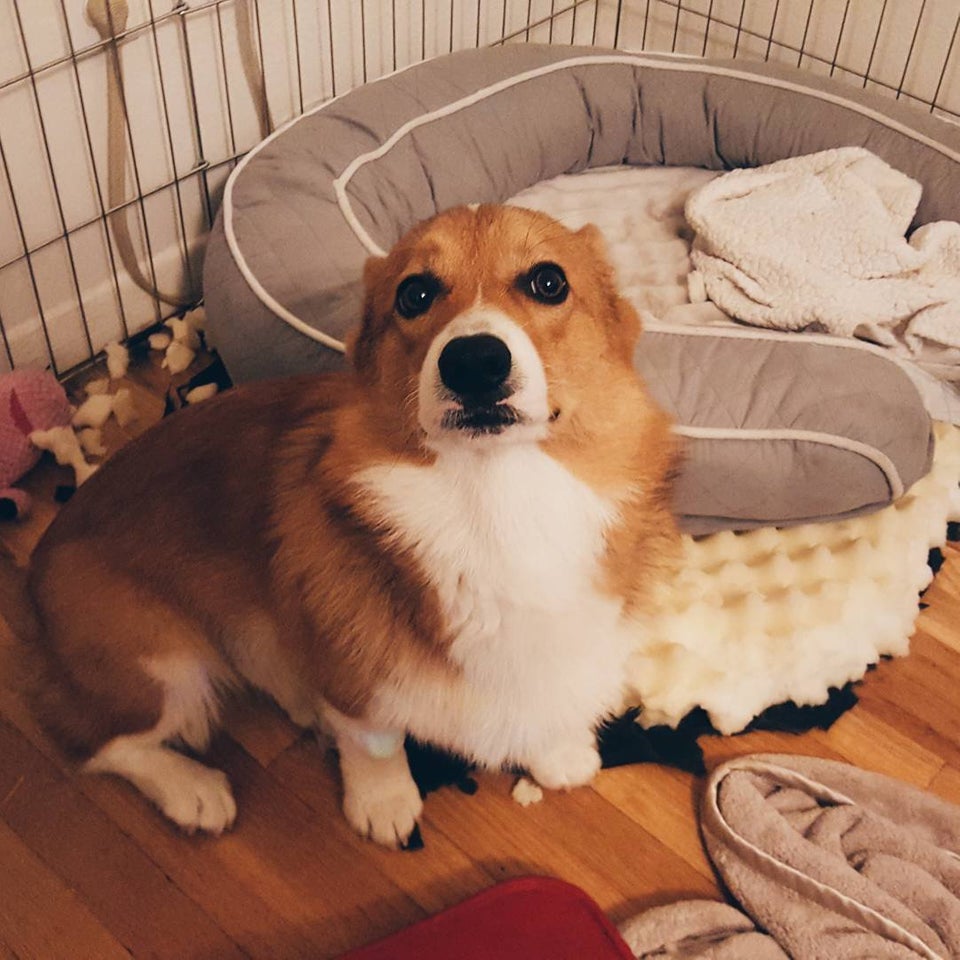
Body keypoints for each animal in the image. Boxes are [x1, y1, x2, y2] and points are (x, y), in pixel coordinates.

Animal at [15, 204, 680, 848]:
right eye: (414, 293)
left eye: (549, 282)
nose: (474, 362)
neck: (493, 496)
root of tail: (36, 569)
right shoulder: (356, 673)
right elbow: (374, 741)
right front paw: (383, 804)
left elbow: (543, 694)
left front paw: (557, 752)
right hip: (160, 670)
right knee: (97, 746)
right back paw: (192, 788)